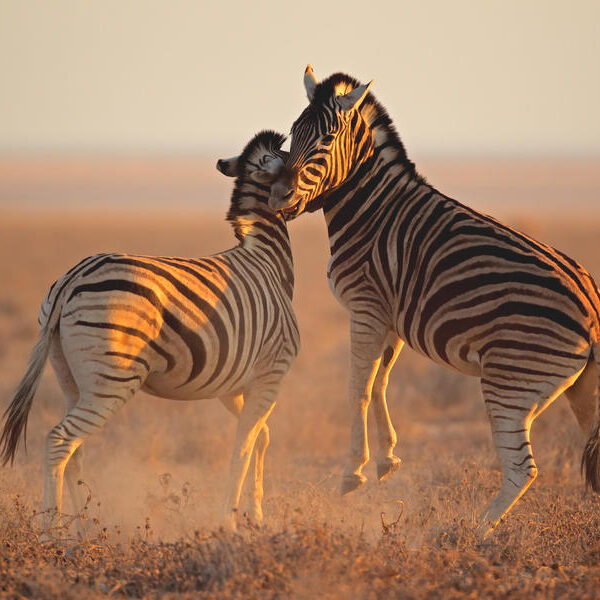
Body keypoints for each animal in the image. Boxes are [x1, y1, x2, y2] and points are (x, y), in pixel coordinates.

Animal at [0, 131, 298, 536]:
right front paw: (230, 524)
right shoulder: (271, 372)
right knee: (60, 441)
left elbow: (259, 438)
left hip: (70, 377)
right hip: (112, 379)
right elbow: (242, 447)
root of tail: (70, 280)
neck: (266, 258)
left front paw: (255, 515)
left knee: (74, 449)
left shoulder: (234, 384)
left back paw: (87, 527)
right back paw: (53, 531)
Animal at [268, 67, 600, 536]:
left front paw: (353, 473)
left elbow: (357, 387)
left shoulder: (366, 306)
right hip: (581, 389)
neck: (370, 209)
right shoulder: (389, 316)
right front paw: (387, 459)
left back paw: (470, 532)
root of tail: (592, 309)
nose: (277, 195)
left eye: (327, 139)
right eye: (293, 132)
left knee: (521, 470)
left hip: (510, 382)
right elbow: (380, 381)